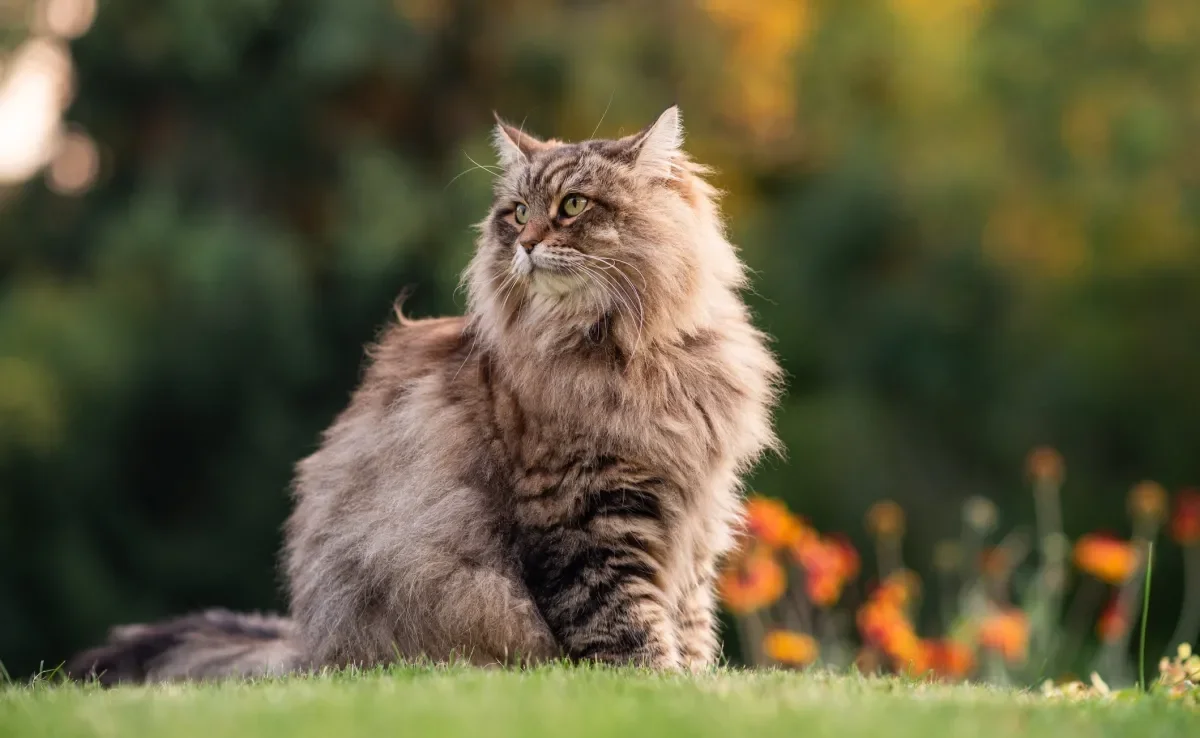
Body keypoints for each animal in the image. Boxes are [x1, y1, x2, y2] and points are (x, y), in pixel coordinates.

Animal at [68, 106, 777, 686]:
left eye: (573, 206)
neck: (637, 352)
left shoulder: (696, 515)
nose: (526, 245)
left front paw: (698, 686)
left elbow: (689, 624)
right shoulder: (585, 514)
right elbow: (626, 627)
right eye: (519, 213)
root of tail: (306, 647)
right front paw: (660, 689)